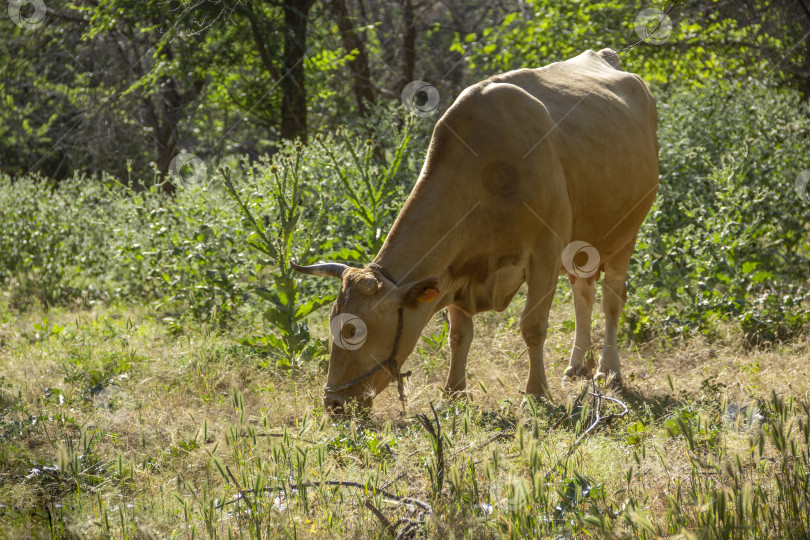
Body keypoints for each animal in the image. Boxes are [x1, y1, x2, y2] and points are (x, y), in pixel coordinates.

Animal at [294, 50, 660, 412]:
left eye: (354, 331)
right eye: (332, 321)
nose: (334, 402)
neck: (488, 174)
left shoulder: (545, 253)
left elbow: (533, 327)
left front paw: (537, 392)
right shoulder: (455, 265)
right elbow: (459, 334)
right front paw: (453, 391)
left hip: (625, 237)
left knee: (611, 301)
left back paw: (609, 371)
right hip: (584, 247)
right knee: (583, 294)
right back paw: (576, 367)